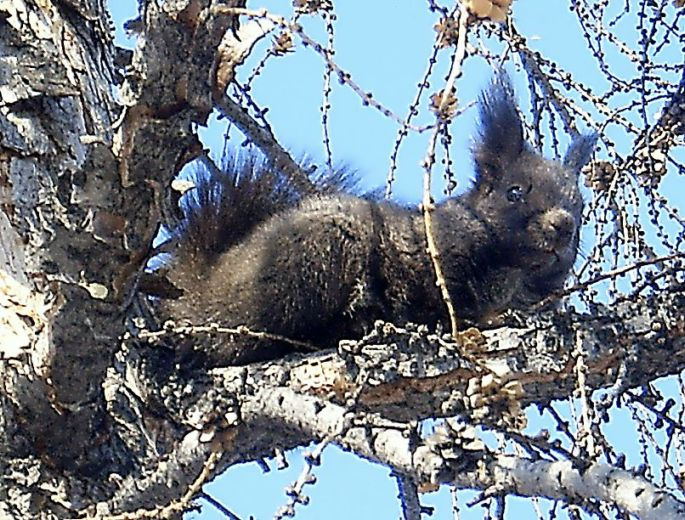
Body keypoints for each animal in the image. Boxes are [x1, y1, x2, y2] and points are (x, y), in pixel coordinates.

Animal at [149, 74, 597, 366]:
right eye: (514, 192)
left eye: (580, 208)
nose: (563, 226)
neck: (513, 272)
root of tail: (200, 292)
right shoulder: (437, 264)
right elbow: (451, 305)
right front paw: (491, 317)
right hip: (316, 254)